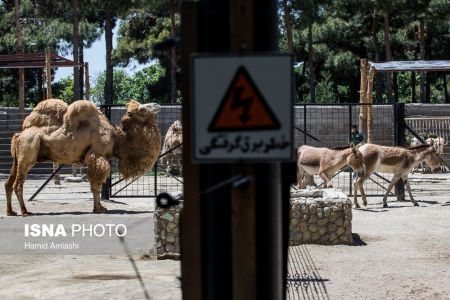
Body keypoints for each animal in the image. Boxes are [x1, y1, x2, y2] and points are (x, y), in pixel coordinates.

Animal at [4, 99, 161, 216]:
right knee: (18, 184)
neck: (117, 138)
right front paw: (99, 209)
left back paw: (11, 212)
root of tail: (19, 134)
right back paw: (25, 212)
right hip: (28, 153)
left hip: (18, 159)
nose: (157, 105)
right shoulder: (98, 156)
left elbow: (96, 185)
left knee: (8, 183)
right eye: (142, 109)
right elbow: (96, 185)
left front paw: (100, 207)